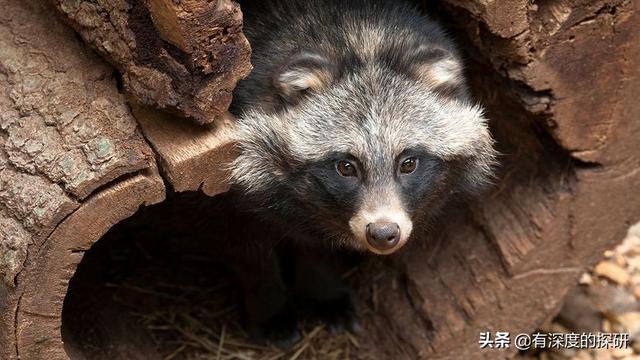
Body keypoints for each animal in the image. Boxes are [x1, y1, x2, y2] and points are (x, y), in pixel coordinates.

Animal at [224, 0, 496, 346]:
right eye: (346, 167)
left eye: (408, 163)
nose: (382, 233)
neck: (362, 39)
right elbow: (251, 250)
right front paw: (269, 305)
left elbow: (314, 248)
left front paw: (322, 289)